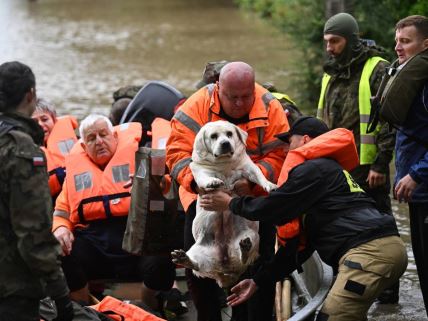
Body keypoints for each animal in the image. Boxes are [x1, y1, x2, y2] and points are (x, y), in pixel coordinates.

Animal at [171, 120, 278, 288]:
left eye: (229, 134)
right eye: (214, 136)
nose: (225, 143)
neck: (224, 164)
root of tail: (224, 270)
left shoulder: (248, 167)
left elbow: (259, 175)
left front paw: (269, 185)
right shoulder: (199, 170)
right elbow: (204, 177)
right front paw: (213, 182)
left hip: (253, 237)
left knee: (245, 259)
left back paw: (245, 249)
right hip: (198, 251)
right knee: (196, 265)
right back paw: (184, 259)